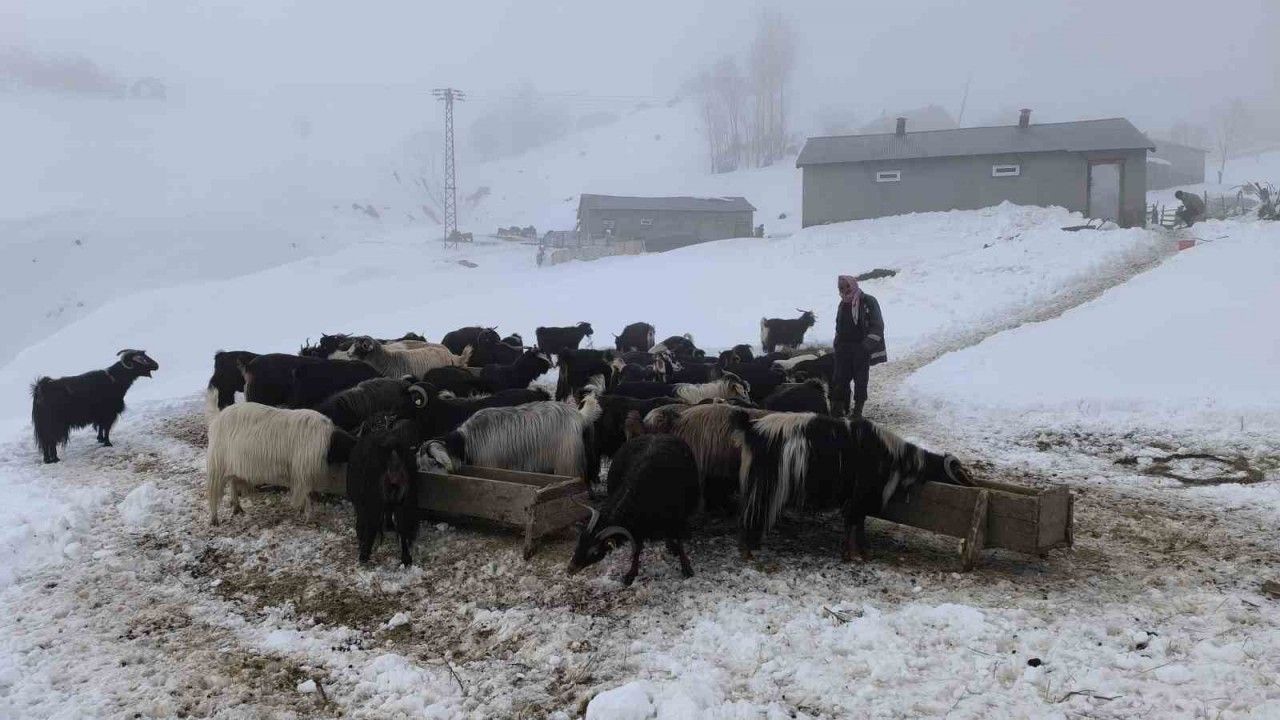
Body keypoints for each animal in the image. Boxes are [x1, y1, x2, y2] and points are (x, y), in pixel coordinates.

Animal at [30, 348, 158, 461]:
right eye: (141, 359)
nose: (157, 365)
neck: (115, 379)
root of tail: (41, 389)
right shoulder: (109, 413)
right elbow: (106, 429)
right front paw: (108, 443)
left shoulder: (101, 415)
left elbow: (101, 427)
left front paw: (100, 439)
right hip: (54, 425)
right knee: (50, 441)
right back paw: (55, 459)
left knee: (46, 442)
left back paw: (47, 460)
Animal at [348, 417, 422, 563]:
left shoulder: (362, 502)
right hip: (406, 499)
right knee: (403, 526)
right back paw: (406, 558)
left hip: (374, 499)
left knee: (371, 524)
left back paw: (364, 555)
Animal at [565, 430, 696, 584]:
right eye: (579, 541)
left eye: (595, 552)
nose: (570, 569)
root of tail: (657, 434)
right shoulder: (636, 527)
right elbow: (638, 548)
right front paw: (631, 574)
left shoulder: (677, 516)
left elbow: (679, 540)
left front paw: (686, 567)